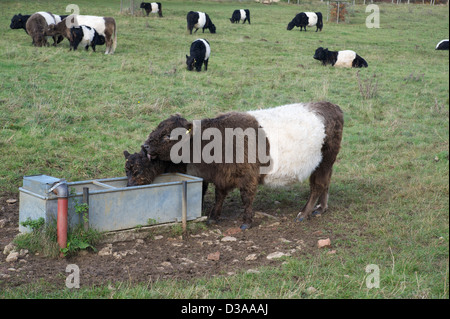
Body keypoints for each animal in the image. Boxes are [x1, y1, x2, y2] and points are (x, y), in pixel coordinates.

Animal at [142, 102, 342, 230]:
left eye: (168, 136)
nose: (145, 146)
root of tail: (330, 106)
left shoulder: (248, 176)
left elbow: (246, 198)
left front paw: (246, 221)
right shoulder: (222, 176)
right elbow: (219, 196)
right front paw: (213, 217)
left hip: (324, 161)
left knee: (317, 186)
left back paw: (304, 213)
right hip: (326, 164)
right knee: (326, 183)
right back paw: (321, 209)